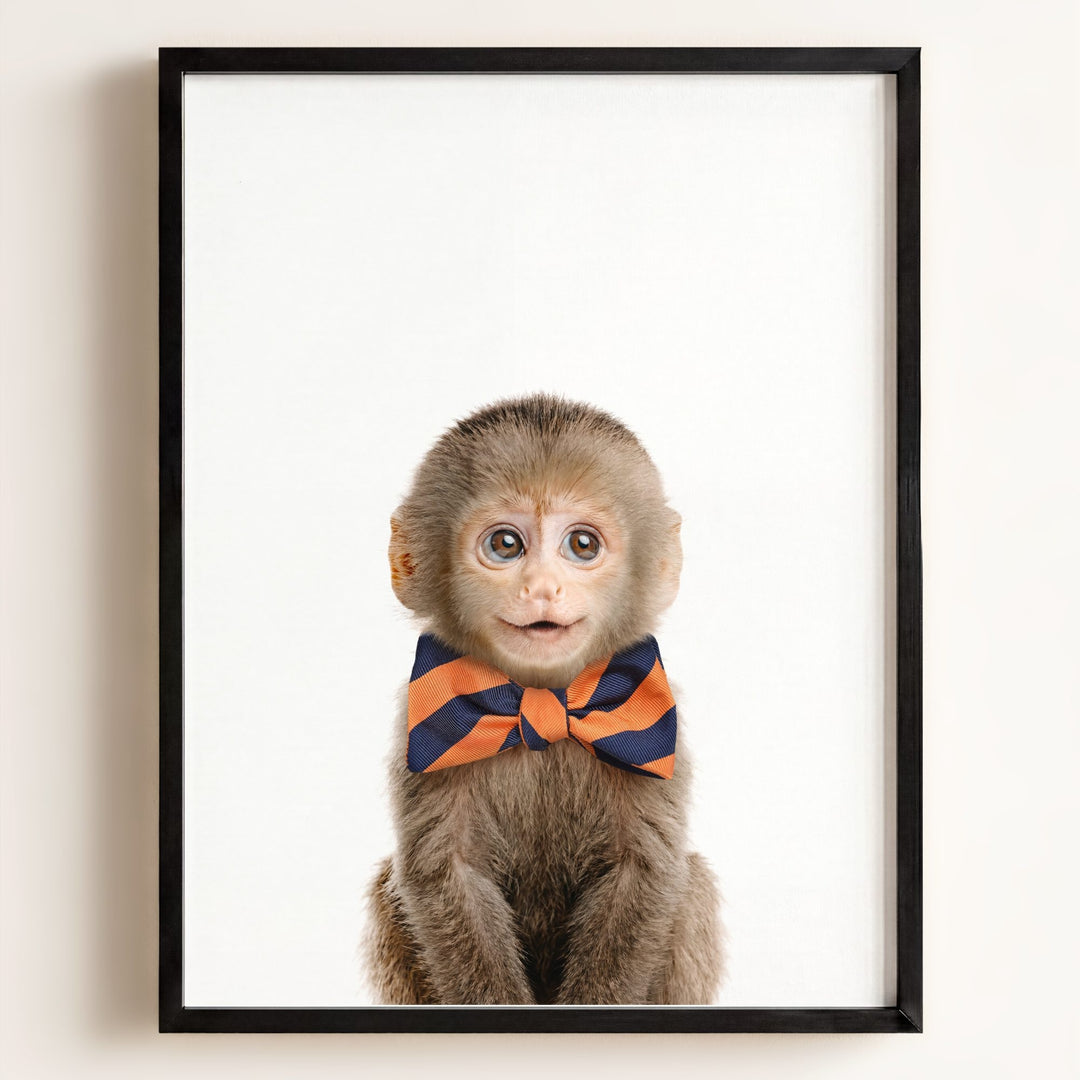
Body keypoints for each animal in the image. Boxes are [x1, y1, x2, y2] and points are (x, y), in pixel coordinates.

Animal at [364, 394, 722, 1005]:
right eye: (505, 545)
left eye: (582, 544)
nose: (541, 589)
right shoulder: (423, 726)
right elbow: (446, 874)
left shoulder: (655, 719)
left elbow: (644, 872)